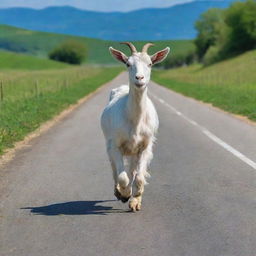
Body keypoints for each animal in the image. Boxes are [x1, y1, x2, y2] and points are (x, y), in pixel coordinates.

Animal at [100, 41, 170, 210]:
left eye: (150, 64)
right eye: (128, 64)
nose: (139, 78)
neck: (135, 121)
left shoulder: (145, 146)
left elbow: (139, 176)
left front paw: (135, 198)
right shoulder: (115, 145)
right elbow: (122, 176)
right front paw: (125, 194)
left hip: (133, 151)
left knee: (132, 170)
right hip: (110, 145)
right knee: (115, 171)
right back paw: (118, 192)